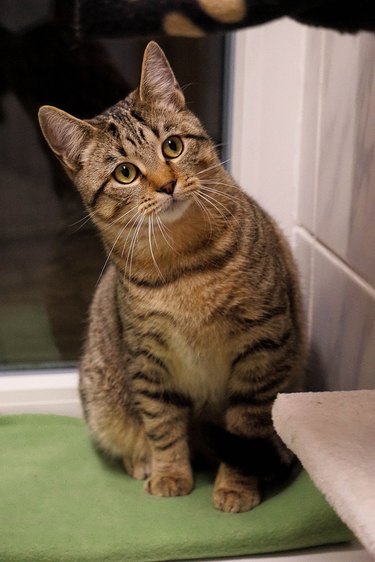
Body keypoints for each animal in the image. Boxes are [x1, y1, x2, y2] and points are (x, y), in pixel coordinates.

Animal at [39, 41, 306, 510]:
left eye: (173, 146)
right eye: (125, 172)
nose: (167, 184)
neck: (183, 262)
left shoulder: (263, 346)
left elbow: (246, 424)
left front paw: (236, 487)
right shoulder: (148, 359)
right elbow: (162, 424)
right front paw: (168, 473)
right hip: (103, 397)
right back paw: (143, 461)